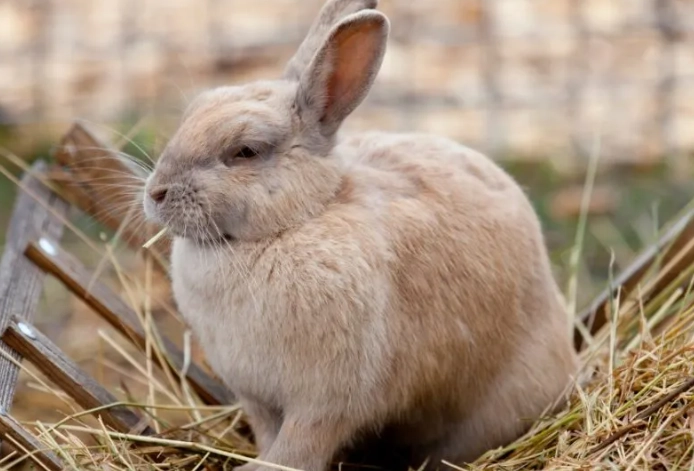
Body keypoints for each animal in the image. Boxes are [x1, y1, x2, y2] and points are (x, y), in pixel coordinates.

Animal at [142, 0, 579, 470]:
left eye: (245, 151)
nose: (155, 192)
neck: (297, 220)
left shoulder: (324, 402)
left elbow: (297, 447)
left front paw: (260, 466)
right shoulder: (257, 399)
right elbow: (268, 435)